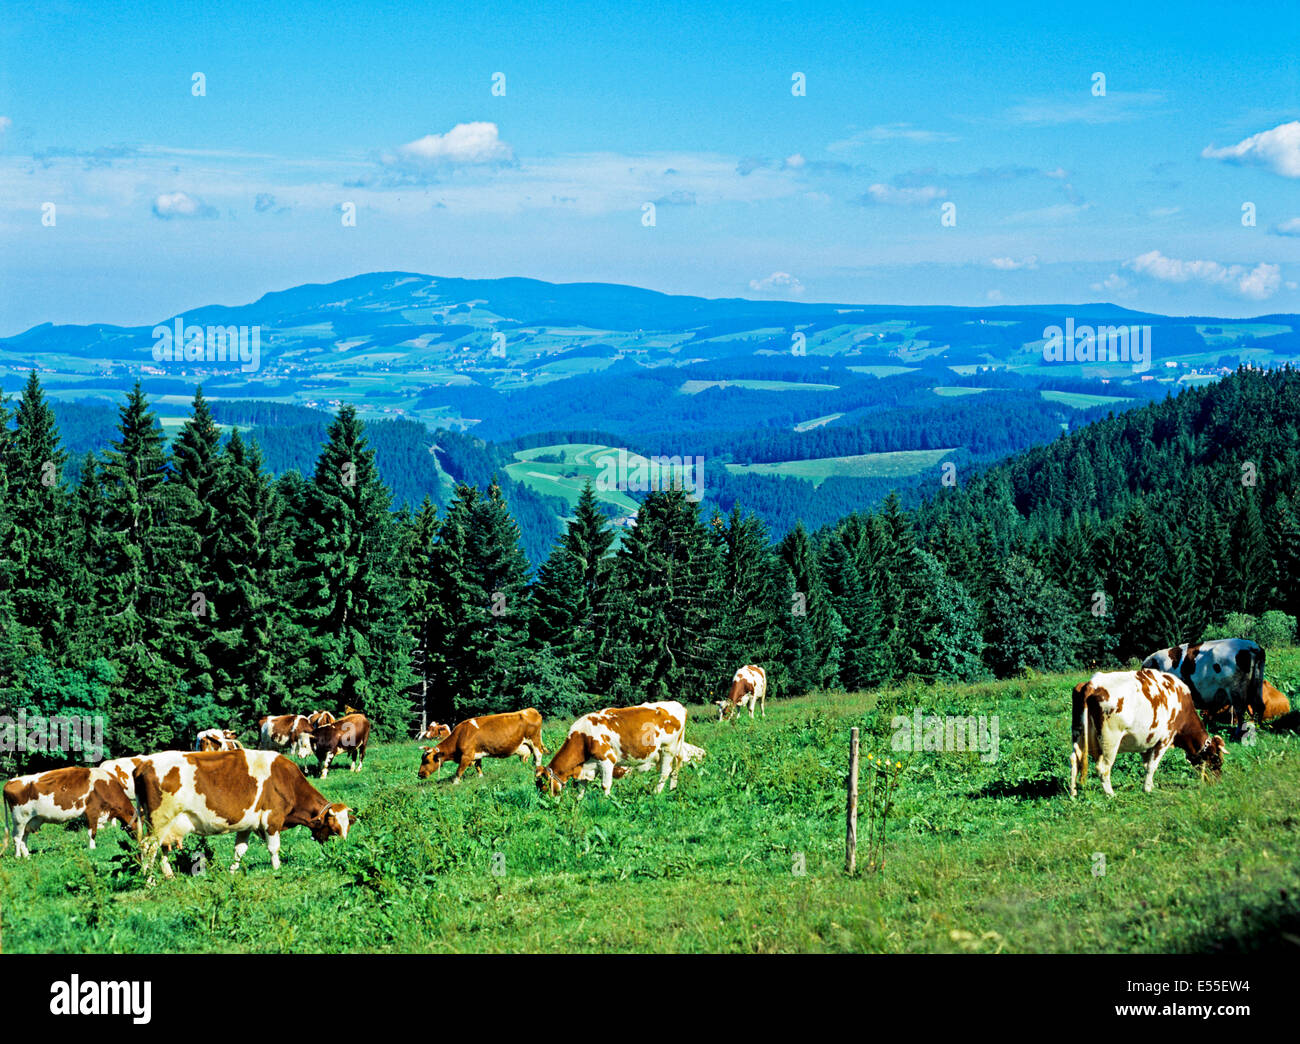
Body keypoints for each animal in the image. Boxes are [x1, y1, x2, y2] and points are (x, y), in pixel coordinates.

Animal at [3, 764, 137, 863]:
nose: (138, 840)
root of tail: (10, 781)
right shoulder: (92, 812)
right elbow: (92, 833)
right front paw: (92, 848)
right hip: (19, 819)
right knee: (17, 838)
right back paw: (18, 857)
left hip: (30, 820)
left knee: (24, 838)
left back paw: (27, 856)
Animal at [133, 748, 356, 878]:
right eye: (335, 827)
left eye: (348, 826)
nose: (344, 847)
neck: (286, 781)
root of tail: (144, 763)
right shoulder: (272, 819)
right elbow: (274, 847)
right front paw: (277, 869)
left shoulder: (247, 823)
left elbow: (240, 849)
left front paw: (233, 870)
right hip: (160, 820)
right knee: (149, 847)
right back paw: (148, 880)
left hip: (166, 824)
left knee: (162, 849)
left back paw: (168, 876)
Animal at [418, 712, 546, 785]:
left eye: (427, 761)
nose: (419, 774)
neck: (460, 735)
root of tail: (531, 710)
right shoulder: (476, 754)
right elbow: (478, 766)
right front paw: (480, 777)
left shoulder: (466, 756)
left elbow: (459, 771)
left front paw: (455, 783)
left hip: (535, 741)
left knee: (539, 755)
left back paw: (537, 769)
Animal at [535, 702, 691, 800]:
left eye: (543, 785)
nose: (545, 803)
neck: (584, 737)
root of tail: (679, 705)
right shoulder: (587, 766)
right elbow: (581, 786)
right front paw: (578, 801)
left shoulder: (606, 760)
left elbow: (605, 785)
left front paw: (606, 801)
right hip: (674, 750)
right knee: (675, 770)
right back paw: (672, 790)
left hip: (668, 749)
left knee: (665, 773)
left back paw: (656, 794)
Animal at [1071, 670, 1222, 800]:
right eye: (1216, 760)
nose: (1217, 781)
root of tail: (1092, 683)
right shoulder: (1165, 739)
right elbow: (1152, 766)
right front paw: (1148, 789)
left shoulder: (1146, 742)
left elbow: (1146, 765)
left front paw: (1150, 785)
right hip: (1110, 740)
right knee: (1103, 768)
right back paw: (1111, 794)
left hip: (1078, 734)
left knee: (1074, 759)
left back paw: (1073, 792)